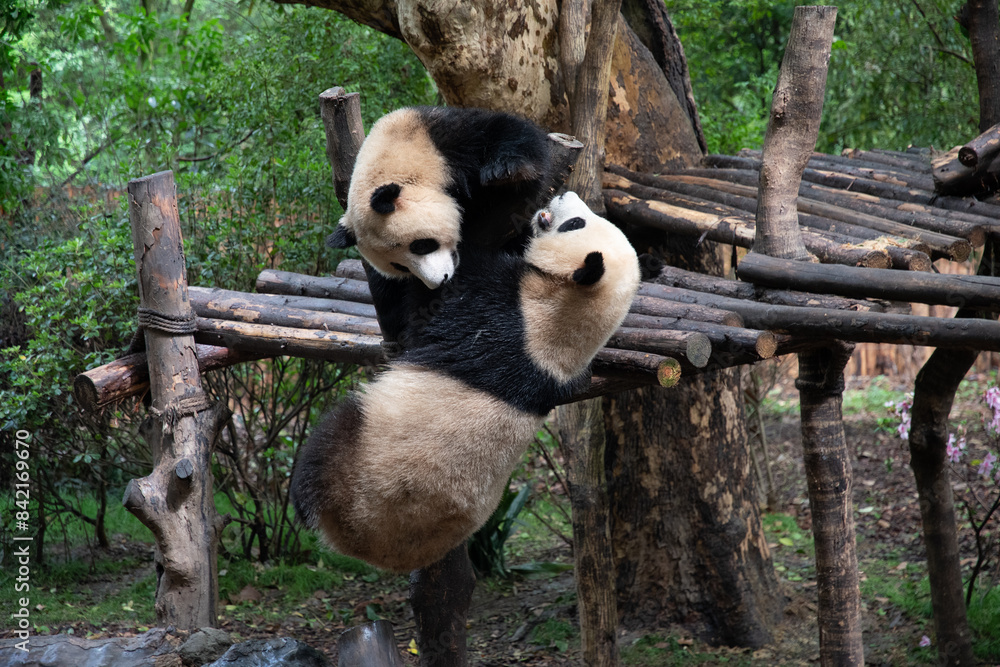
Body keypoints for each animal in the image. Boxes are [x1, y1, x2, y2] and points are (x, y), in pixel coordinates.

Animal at [292, 192, 641, 572]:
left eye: (575, 224)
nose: (566, 194)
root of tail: (369, 549)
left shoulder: (502, 315)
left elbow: (434, 299)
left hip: (358, 462)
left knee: (325, 445)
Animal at [326, 106, 554, 345]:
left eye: (421, 245)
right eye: (400, 267)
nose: (440, 281)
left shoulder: (449, 139)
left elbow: (509, 133)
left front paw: (503, 170)